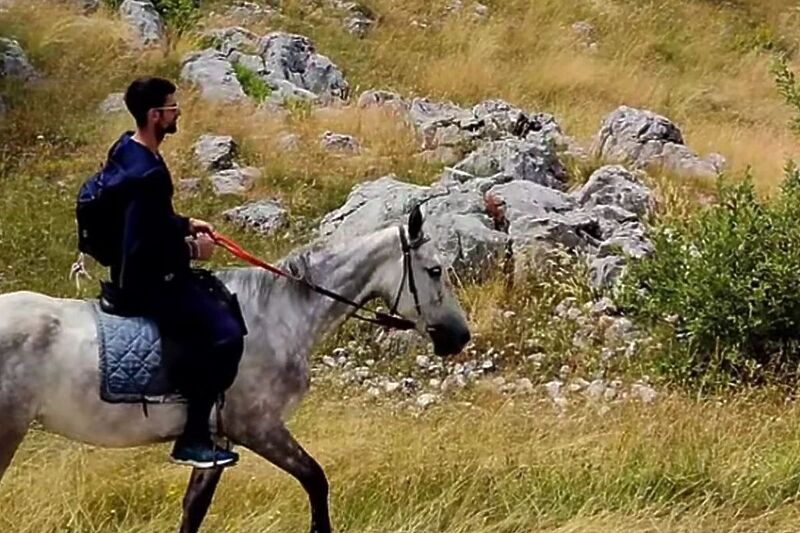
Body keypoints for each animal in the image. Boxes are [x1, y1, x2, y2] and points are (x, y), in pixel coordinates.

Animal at [0, 208, 468, 532]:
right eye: (435, 270)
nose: (459, 337)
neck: (277, 315)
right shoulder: (258, 427)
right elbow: (316, 481)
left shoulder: (216, 441)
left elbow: (193, 510)